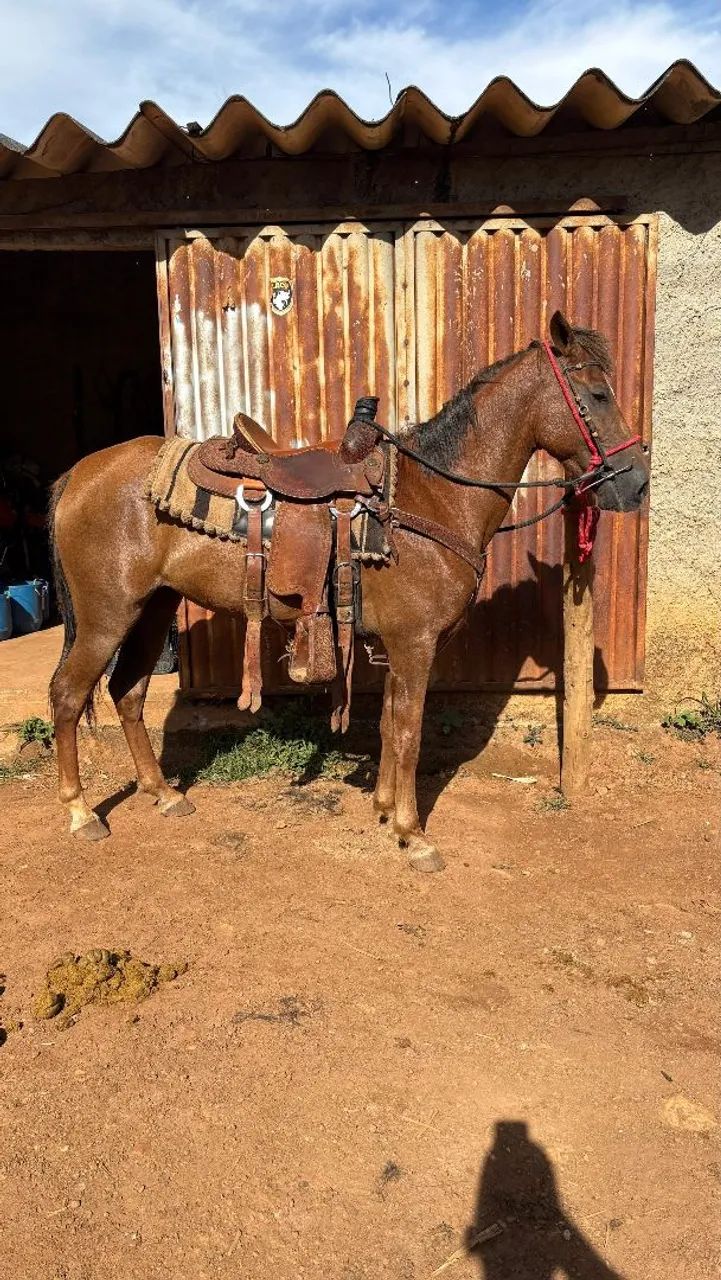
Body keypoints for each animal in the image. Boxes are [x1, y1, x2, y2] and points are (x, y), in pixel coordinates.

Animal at [48, 311, 649, 869]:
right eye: (597, 393)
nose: (636, 482)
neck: (433, 496)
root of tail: (77, 475)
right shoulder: (415, 645)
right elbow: (408, 733)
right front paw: (413, 834)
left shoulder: (398, 647)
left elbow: (387, 724)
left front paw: (384, 808)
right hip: (107, 616)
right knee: (69, 695)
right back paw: (79, 812)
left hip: (153, 608)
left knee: (128, 691)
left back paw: (164, 794)